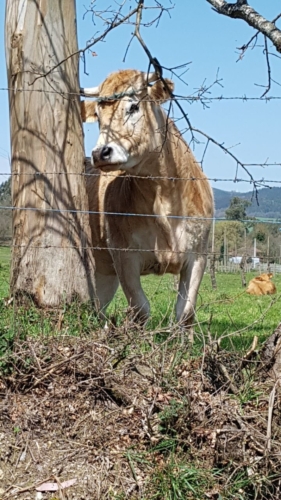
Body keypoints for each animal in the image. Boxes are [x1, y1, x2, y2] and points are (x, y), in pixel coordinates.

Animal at [80, 69, 213, 328]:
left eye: (133, 106)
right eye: (98, 115)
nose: (100, 153)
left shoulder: (198, 255)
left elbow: (185, 312)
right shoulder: (123, 256)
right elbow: (141, 309)